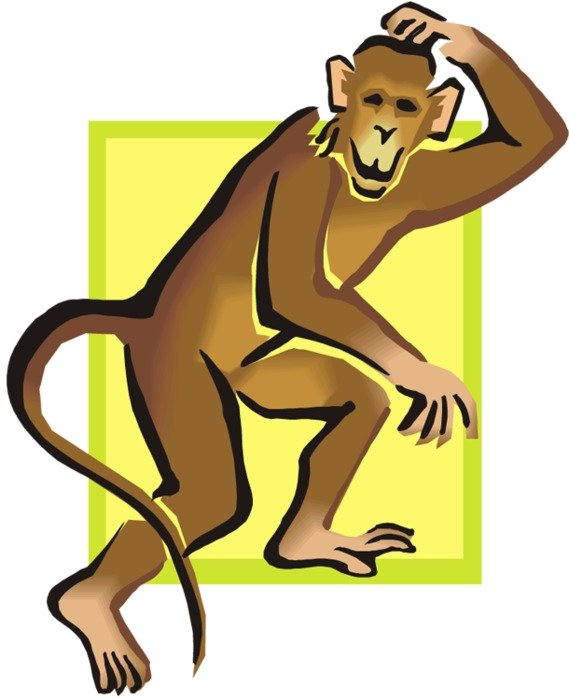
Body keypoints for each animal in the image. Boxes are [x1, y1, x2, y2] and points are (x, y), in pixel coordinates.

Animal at [7, 3, 567, 694]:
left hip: (255, 376)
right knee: (211, 497)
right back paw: (85, 604)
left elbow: (528, 147)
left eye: (407, 106)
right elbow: (296, 288)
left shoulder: (424, 179)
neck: (356, 181)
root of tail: (142, 314)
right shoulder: (306, 175)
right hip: (173, 369)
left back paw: (303, 544)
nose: (384, 129)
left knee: (359, 402)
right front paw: (425, 374)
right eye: (373, 99)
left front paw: (438, 29)